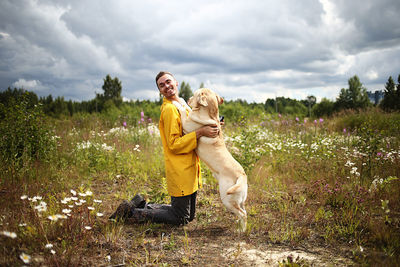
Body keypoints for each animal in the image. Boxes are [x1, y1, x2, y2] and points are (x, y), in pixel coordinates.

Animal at [172, 89, 247, 231]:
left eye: (194, 94)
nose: (188, 98)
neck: (211, 115)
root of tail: (242, 175)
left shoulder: (187, 124)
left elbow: (184, 111)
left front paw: (177, 102)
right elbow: (188, 109)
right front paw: (183, 102)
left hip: (227, 199)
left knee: (243, 214)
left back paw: (241, 230)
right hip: (240, 199)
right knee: (244, 211)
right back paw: (239, 226)